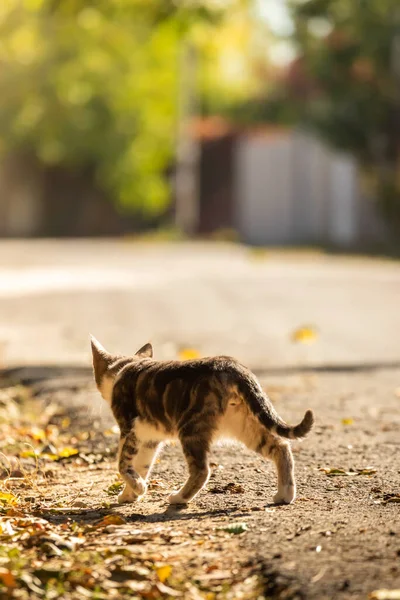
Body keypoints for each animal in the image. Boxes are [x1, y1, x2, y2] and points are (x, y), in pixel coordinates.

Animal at [91, 338, 316, 506]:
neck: (125, 366)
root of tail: (231, 364)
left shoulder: (129, 428)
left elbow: (122, 464)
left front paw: (137, 487)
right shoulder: (149, 439)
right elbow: (142, 465)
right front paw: (130, 494)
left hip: (191, 428)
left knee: (201, 470)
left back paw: (179, 498)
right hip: (244, 424)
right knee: (281, 446)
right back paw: (285, 494)